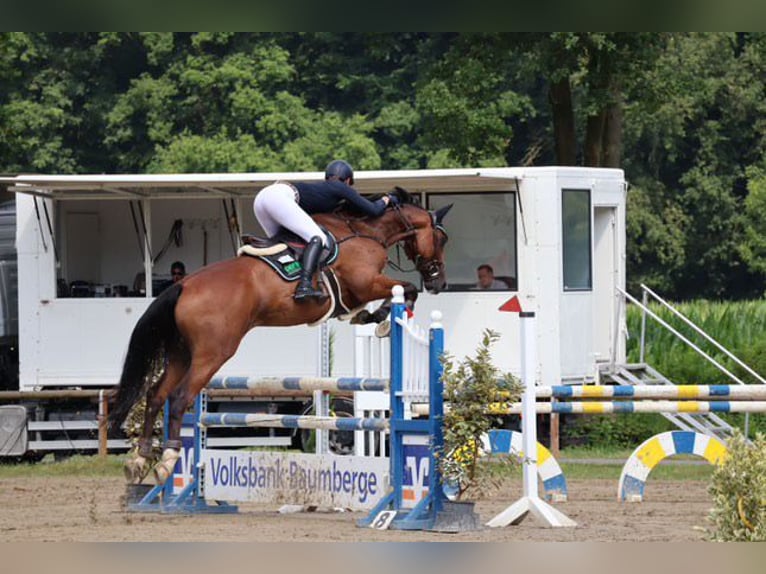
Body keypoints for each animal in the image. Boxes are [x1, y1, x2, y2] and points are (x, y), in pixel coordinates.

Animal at [111, 190, 452, 486]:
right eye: (442, 238)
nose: (440, 283)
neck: (365, 232)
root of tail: (182, 286)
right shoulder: (365, 282)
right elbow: (405, 289)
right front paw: (383, 319)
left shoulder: (356, 292)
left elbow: (371, 304)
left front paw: (370, 318)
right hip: (212, 353)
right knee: (181, 397)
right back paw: (168, 460)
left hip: (181, 353)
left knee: (157, 394)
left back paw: (140, 460)